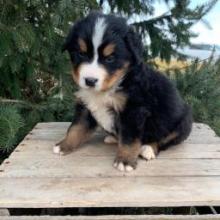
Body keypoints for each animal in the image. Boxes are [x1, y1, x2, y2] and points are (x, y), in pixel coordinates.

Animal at [53, 11, 192, 172]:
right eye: (81, 53)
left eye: (110, 58)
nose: (90, 81)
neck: (107, 89)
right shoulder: (85, 106)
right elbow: (76, 128)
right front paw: (64, 145)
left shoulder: (133, 110)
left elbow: (129, 139)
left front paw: (124, 161)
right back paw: (113, 138)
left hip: (183, 123)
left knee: (163, 140)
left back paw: (148, 149)